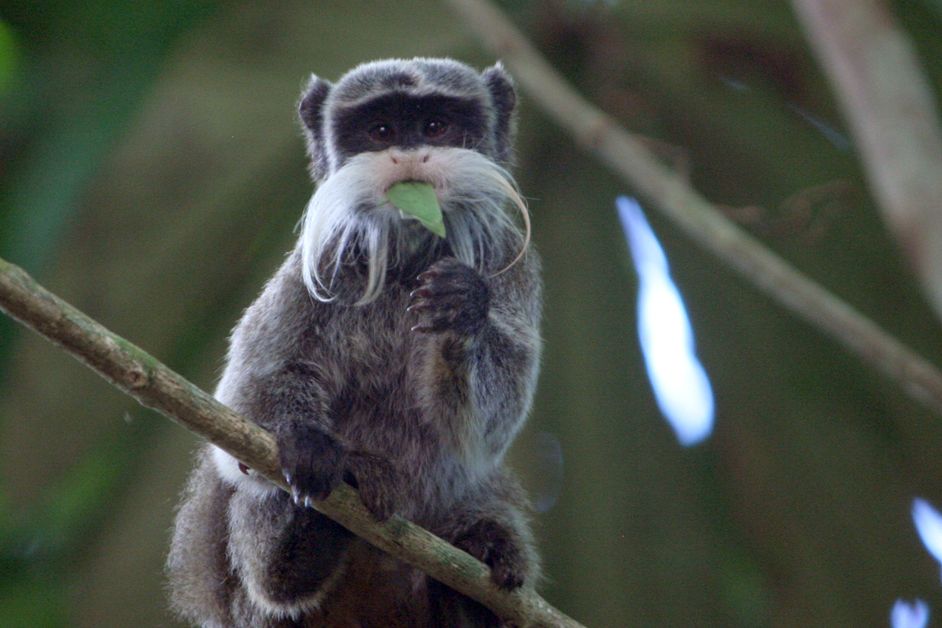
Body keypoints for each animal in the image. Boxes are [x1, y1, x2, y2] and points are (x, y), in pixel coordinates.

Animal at [166, 57, 542, 627]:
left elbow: (489, 425)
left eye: (436, 126)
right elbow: (253, 394)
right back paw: (300, 544)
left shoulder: (510, 265)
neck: (407, 262)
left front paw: (460, 309)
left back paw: (475, 569)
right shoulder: (318, 263)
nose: (408, 153)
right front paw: (308, 444)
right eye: (381, 130)